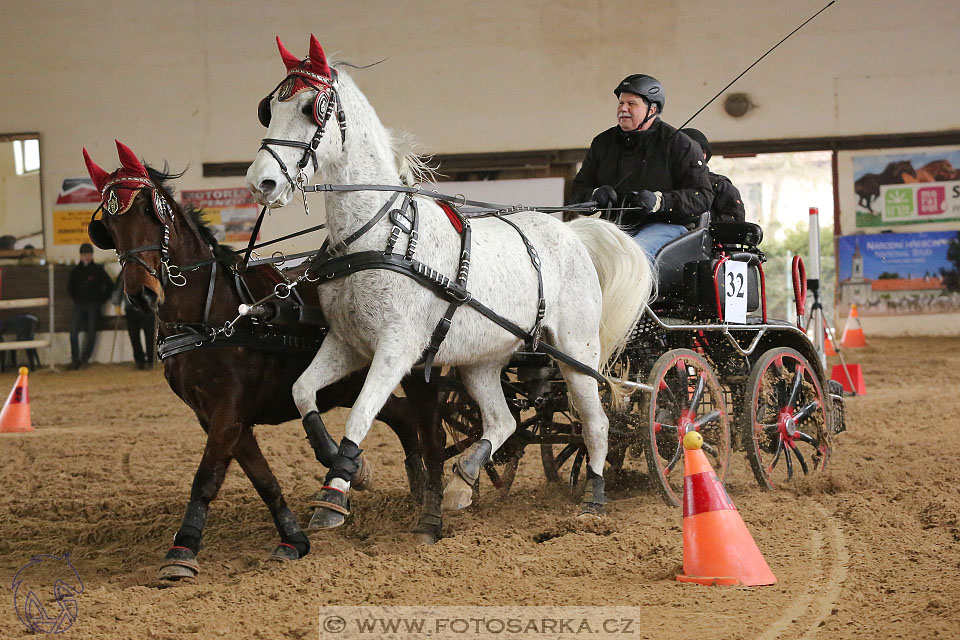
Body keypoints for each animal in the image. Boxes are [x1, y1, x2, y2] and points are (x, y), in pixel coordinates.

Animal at [79, 144, 450, 580]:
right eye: (107, 224)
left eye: (149, 211)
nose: (142, 294)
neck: (210, 319)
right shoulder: (216, 416)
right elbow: (263, 480)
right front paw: (293, 538)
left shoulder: (229, 411)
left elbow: (206, 478)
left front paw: (182, 549)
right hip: (351, 384)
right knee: (404, 419)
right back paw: (405, 484)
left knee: (430, 430)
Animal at [244, 35, 656, 524]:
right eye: (269, 108)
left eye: (313, 108)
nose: (261, 183)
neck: (378, 236)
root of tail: (572, 232)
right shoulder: (346, 342)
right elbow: (303, 392)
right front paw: (353, 470)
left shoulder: (397, 348)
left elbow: (360, 413)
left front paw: (334, 495)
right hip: (482, 361)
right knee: (502, 420)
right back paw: (463, 483)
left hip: (577, 351)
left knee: (595, 422)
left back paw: (594, 496)